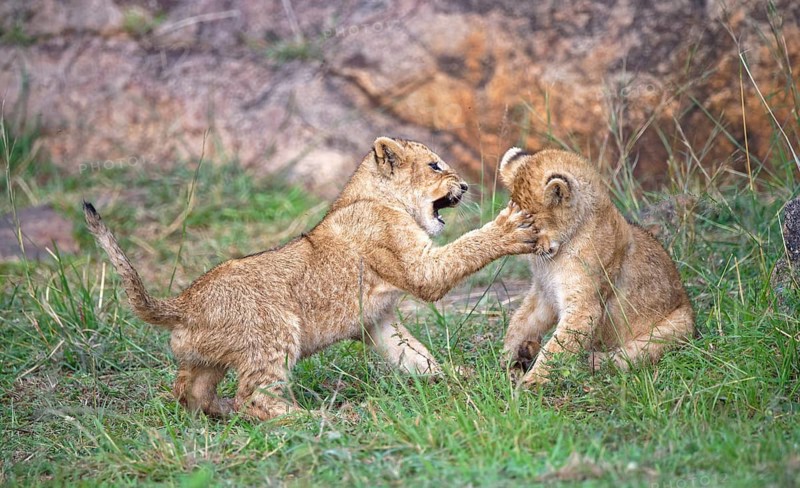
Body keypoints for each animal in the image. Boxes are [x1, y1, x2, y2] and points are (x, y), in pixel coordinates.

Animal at [83, 137, 538, 420]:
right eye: (434, 165)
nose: (464, 185)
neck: (372, 197)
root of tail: (183, 303)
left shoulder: (377, 321)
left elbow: (414, 355)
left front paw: (457, 376)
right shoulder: (415, 265)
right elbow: (462, 251)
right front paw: (509, 228)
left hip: (204, 358)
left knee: (188, 391)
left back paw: (218, 411)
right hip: (275, 330)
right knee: (256, 400)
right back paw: (322, 418)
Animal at [497, 148, 695, 386]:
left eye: (530, 225)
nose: (525, 251)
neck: (554, 258)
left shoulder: (584, 308)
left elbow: (557, 349)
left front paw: (531, 384)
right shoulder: (544, 293)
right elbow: (521, 322)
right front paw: (507, 358)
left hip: (674, 327)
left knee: (622, 359)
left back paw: (585, 362)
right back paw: (526, 351)